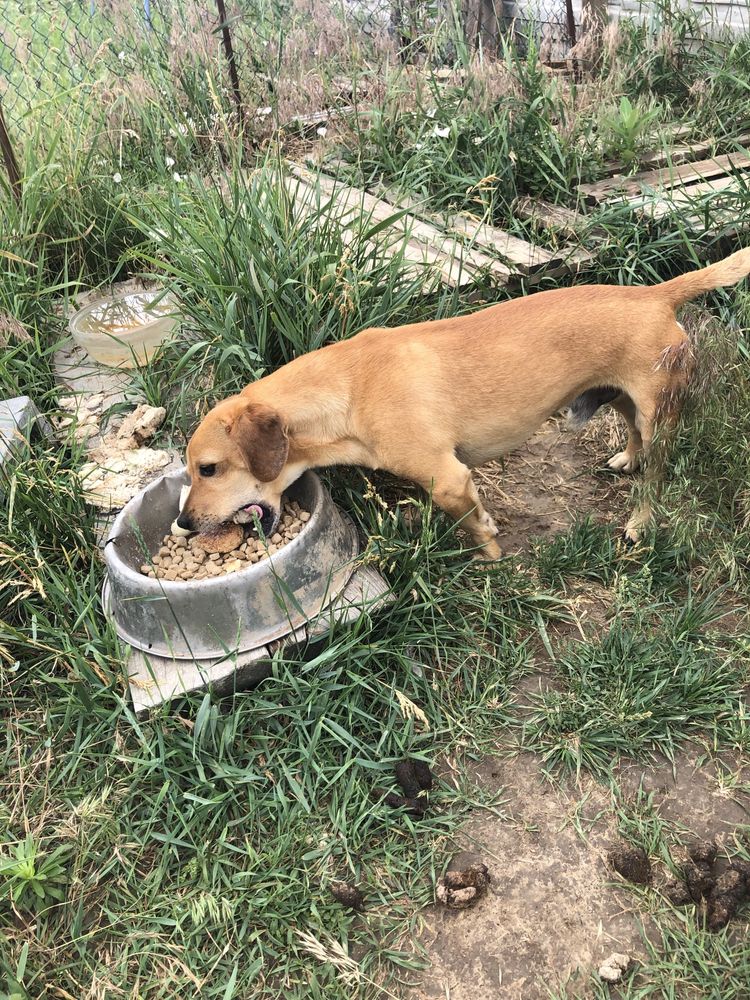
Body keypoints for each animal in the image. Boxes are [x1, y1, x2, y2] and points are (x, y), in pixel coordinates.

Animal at [178, 248, 750, 564]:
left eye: (208, 469)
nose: (183, 523)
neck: (348, 388)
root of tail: (656, 294)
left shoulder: (448, 480)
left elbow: (474, 526)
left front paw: (491, 556)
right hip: (624, 400)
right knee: (632, 436)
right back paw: (627, 459)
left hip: (658, 417)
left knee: (657, 476)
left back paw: (639, 522)